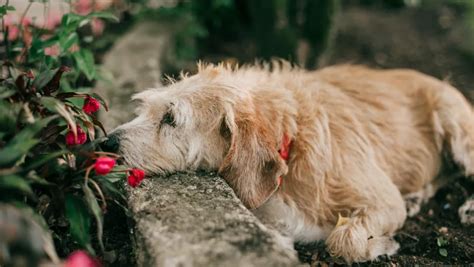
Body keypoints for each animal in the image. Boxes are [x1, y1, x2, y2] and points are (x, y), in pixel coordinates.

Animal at [107, 62, 474, 264]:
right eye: (146, 109)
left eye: (171, 119)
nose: (105, 143)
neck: (291, 136)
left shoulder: (383, 200)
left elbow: (343, 240)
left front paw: (383, 245)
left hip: (456, 127)